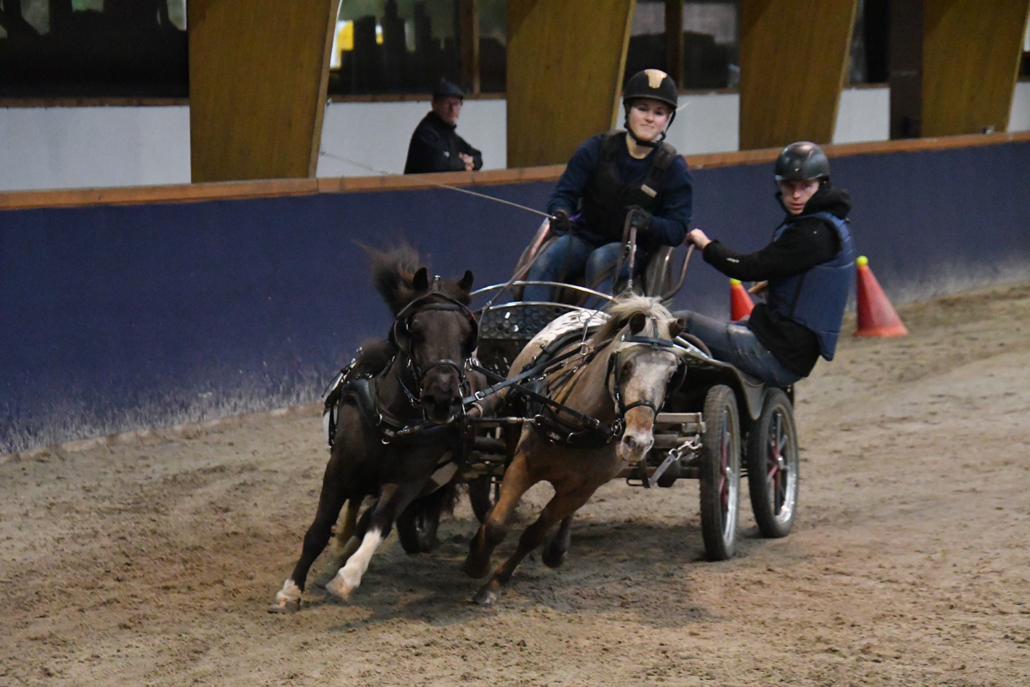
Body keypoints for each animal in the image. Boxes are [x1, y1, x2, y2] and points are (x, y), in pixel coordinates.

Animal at [270, 246, 478, 613]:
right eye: (415, 330)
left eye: (467, 336)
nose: (442, 398)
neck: (393, 424)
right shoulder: (338, 470)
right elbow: (318, 530)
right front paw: (290, 591)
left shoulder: (409, 482)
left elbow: (380, 523)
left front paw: (346, 578)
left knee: (371, 516)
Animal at [463, 295, 686, 606]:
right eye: (625, 366)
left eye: (671, 375)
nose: (638, 442)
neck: (580, 425)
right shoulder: (523, 464)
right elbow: (497, 525)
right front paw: (476, 562)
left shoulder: (582, 488)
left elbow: (534, 534)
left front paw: (494, 583)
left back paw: (558, 549)